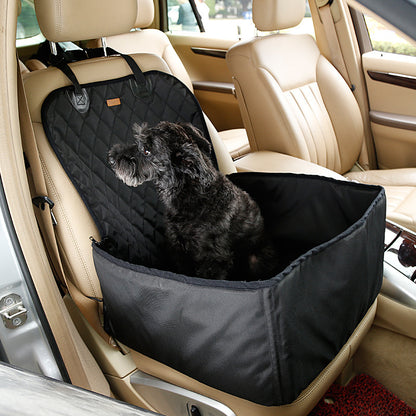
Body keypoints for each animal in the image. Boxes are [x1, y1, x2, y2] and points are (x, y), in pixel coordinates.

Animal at [107, 122, 278, 282]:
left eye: (146, 151)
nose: (111, 158)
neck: (192, 194)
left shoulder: (213, 259)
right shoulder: (179, 249)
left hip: (255, 258)